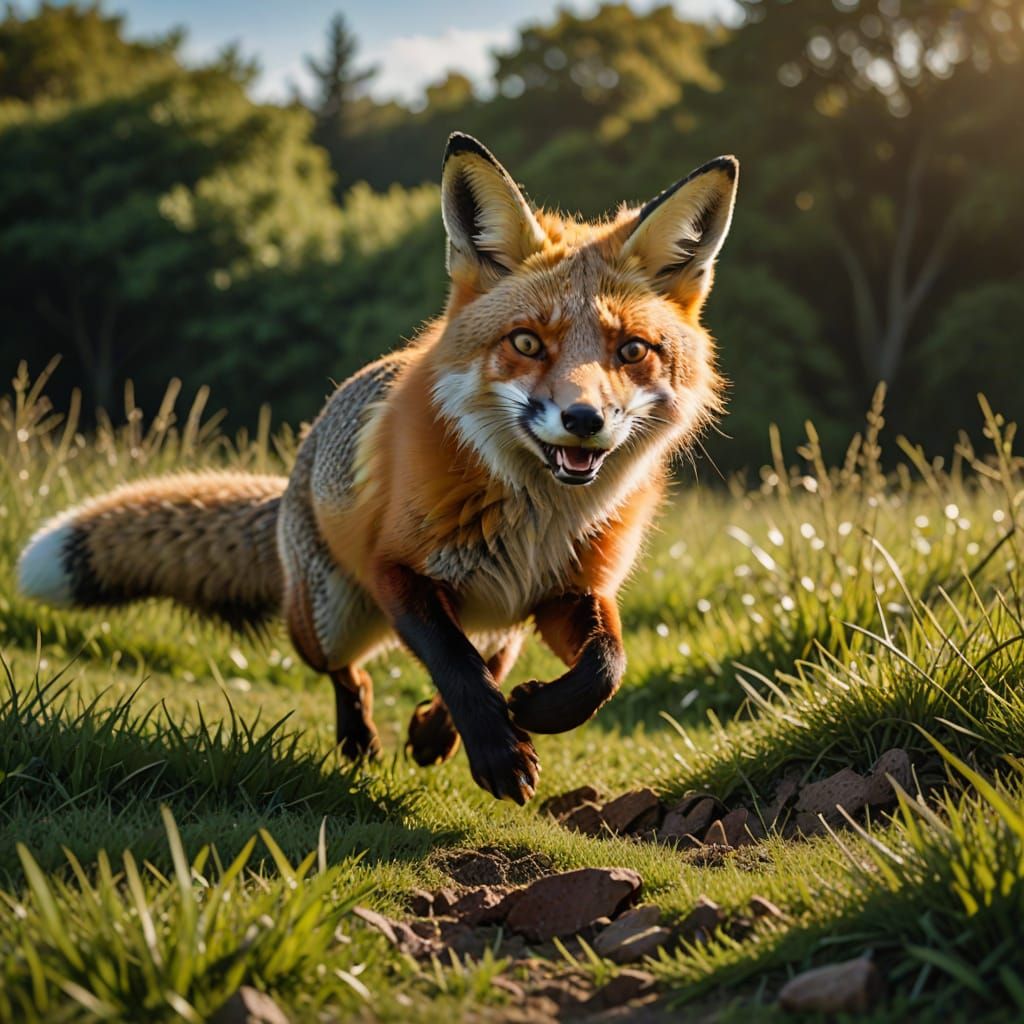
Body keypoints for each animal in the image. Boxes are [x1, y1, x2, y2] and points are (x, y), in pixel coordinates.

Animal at [17, 133, 737, 804]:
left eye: (632, 350)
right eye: (527, 343)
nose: (584, 420)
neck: (536, 518)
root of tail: (296, 469)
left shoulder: (571, 591)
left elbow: (603, 668)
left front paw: (533, 712)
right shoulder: (397, 569)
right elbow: (454, 663)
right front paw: (498, 751)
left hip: (502, 621)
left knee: (490, 660)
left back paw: (432, 731)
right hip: (328, 619)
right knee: (351, 672)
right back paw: (361, 737)